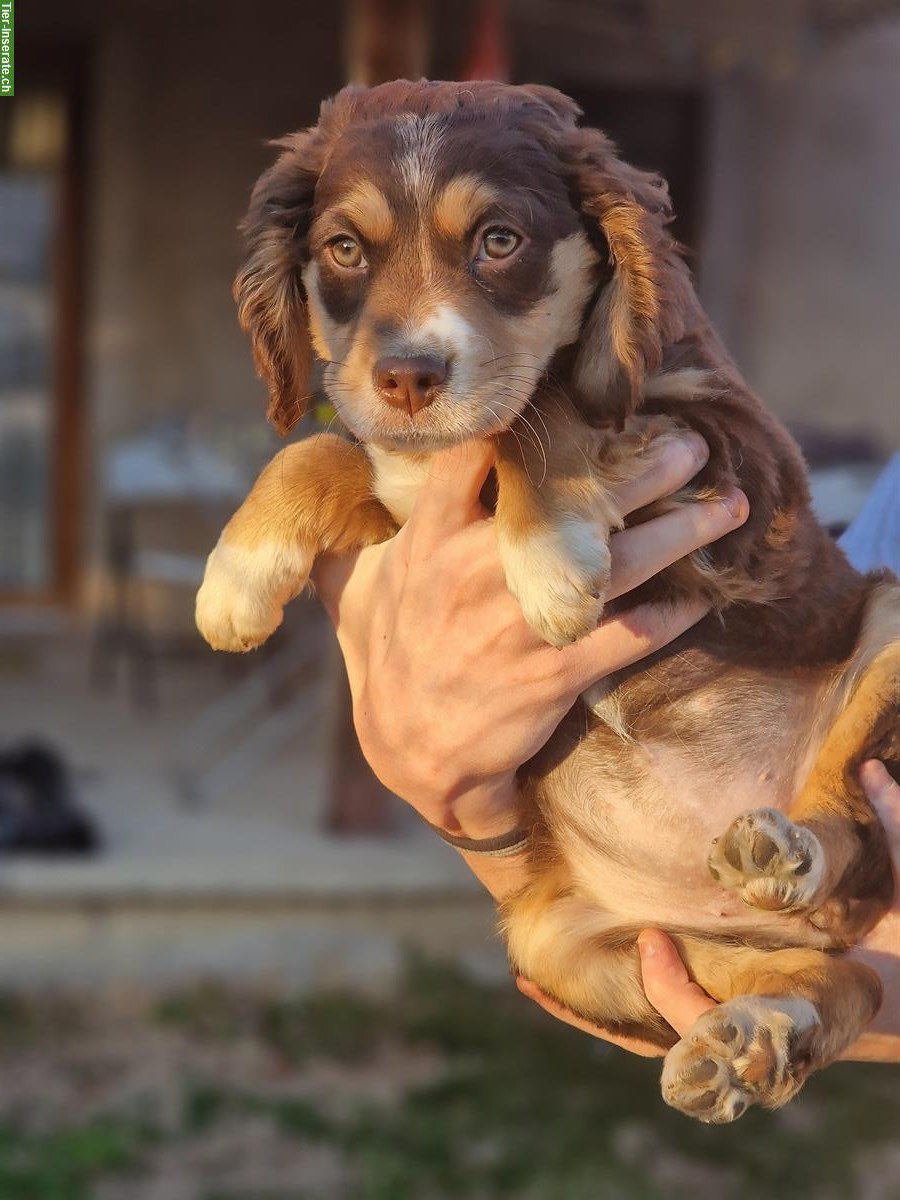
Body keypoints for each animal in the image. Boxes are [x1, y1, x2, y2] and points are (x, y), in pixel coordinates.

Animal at [199, 84, 900, 1123]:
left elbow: (545, 405)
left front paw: (552, 561)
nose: (407, 377)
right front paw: (236, 576)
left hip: (887, 628)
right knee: (849, 978)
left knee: (857, 831)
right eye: (344, 250)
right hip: (572, 948)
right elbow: (328, 446)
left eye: (500, 241)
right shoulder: (401, 503)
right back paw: (753, 1037)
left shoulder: (736, 454)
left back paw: (790, 859)